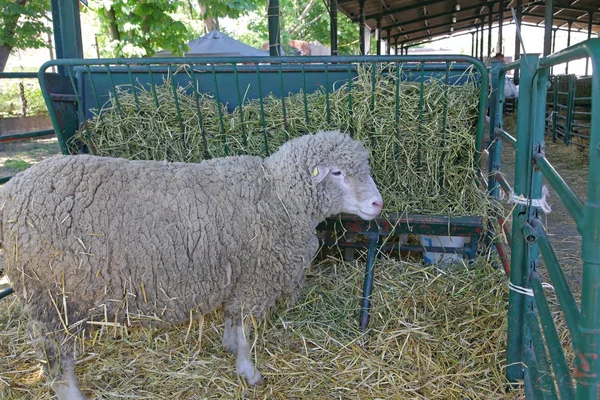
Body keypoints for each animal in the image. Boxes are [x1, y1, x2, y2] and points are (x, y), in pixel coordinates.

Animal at [0, 130, 382, 398]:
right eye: (337, 172)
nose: (378, 204)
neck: (279, 197)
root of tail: (12, 190)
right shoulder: (255, 279)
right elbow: (245, 329)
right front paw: (248, 371)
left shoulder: (237, 275)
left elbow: (232, 320)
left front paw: (229, 346)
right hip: (51, 298)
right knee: (56, 358)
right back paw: (73, 393)